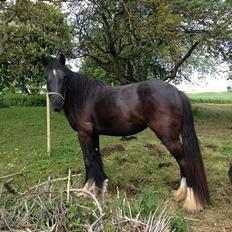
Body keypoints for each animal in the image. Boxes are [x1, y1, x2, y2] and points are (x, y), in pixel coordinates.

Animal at [44, 54, 209, 212]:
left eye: (64, 77)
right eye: (46, 77)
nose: (56, 104)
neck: (84, 96)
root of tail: (176, 91)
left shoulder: (83, 133)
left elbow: (88, 159)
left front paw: (85, 190)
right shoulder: (94, 134)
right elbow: (96, 157)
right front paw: (100, 185)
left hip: (168, 137)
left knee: (184, 160)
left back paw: (191, 200)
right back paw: (180, 193)